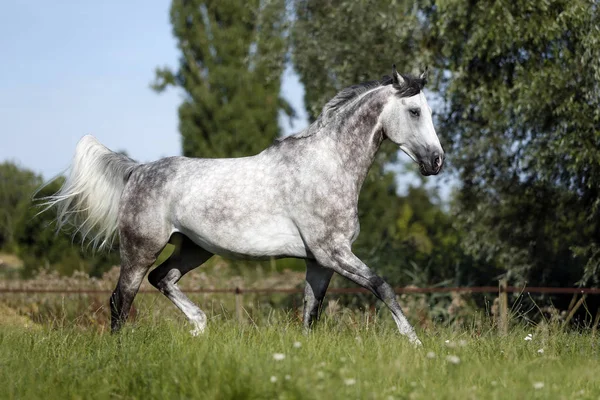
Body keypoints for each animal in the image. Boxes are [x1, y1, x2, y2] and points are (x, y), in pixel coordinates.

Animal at [44, 65, 442, 344]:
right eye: (414, 111)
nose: (436, 161)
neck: (327, 164)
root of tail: (138, 170)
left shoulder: (320, 261)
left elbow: (311, 312)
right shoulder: (334, 253)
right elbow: (382, 286)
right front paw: (415, 343)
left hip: (195, 249)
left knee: (162, 279)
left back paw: (200, 327)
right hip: (140, 248)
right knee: (121, 299)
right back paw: (121, 348)